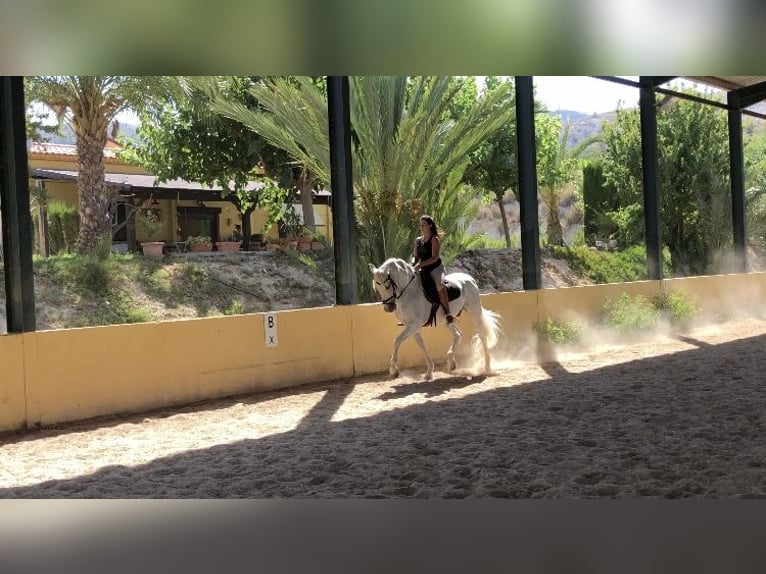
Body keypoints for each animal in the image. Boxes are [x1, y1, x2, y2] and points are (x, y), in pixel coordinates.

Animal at [369, 257, 502, 381]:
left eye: (387, 286)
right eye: (377, 286)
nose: (388, 308)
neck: (409, 292)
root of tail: (469, 278)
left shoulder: (414, 324)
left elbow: (397, 341)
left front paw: (393, 371)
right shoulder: (412, 327)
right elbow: (422, 347)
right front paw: (429, 372)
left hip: (474, 311)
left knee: (482, 335)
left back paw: (487, 368)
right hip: (446, 321)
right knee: (458, 334)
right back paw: (451, 364)